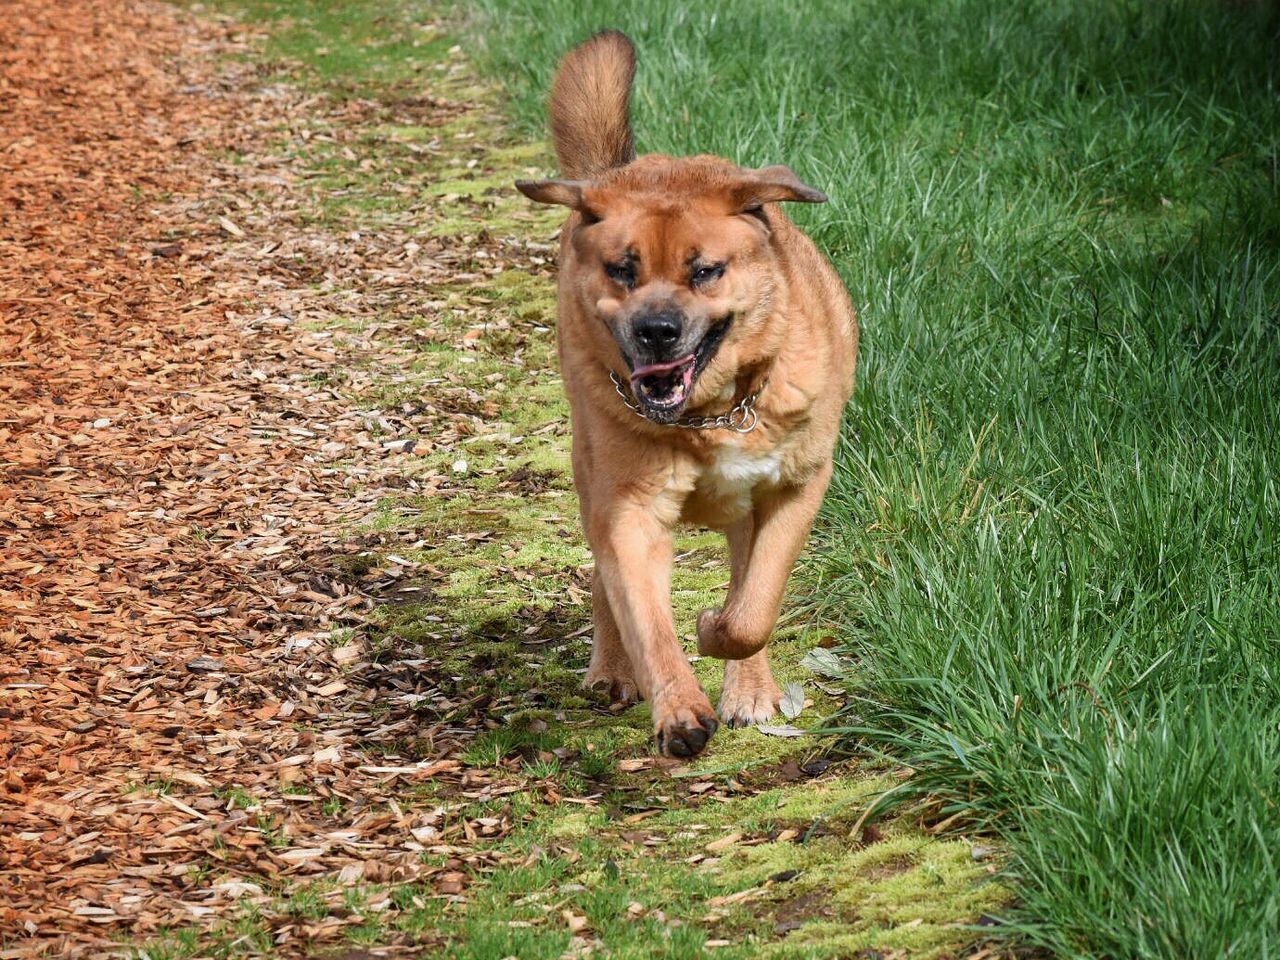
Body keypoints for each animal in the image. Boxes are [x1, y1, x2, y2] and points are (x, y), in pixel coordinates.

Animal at [514, 30, 855, 757]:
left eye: (705, 271)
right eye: (622, 269)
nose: (657, 330)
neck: (712, 415)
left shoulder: (795, 487)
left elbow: (752, 609)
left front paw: (717, 635)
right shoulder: (630, 511)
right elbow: (647, 621)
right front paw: (678, 708)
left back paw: (749, 686)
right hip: (592, 474)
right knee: (604, 582)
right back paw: (613, 670)